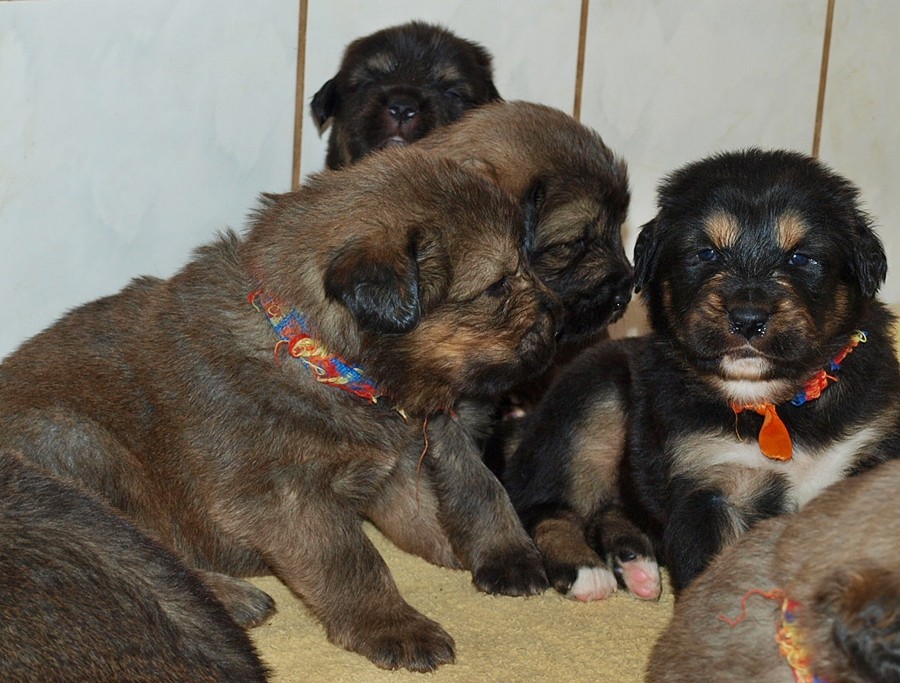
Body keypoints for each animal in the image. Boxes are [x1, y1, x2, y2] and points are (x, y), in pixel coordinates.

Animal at [503, 148, 900, 604]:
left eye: (801, 258)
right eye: (706, 254)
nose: (748, 319)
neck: (776, 404)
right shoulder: (708, 488)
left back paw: (637, 566)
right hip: (591, 402)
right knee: (546, 507)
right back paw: (586, 569)